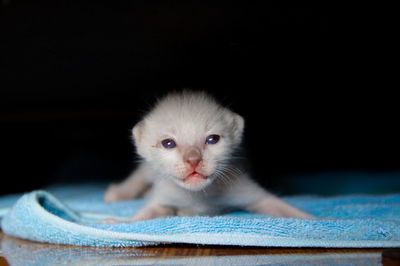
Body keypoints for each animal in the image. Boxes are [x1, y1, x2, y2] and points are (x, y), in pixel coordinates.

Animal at [102, 90, 312, 221]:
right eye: (168, 143)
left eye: (212, 139)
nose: (193, 160)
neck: (199, 196)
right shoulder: (164, 195)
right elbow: (146, 214)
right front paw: (120, 223)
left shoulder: (244, 188)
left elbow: (279, 206)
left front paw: (317, 221)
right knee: (140, 174)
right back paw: (119, 193)